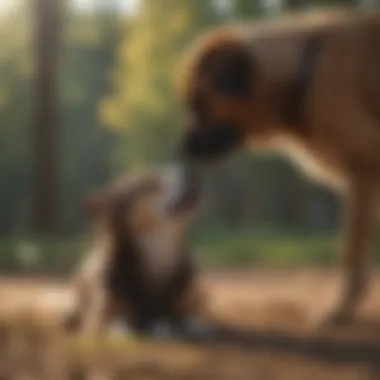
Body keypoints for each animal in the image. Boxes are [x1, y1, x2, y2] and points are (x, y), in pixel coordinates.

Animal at [174, 8, 380, 324]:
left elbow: (352, 253)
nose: (183, 147)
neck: (307, 71)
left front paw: (342, 310)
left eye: (199, 102)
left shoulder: (363, 174)